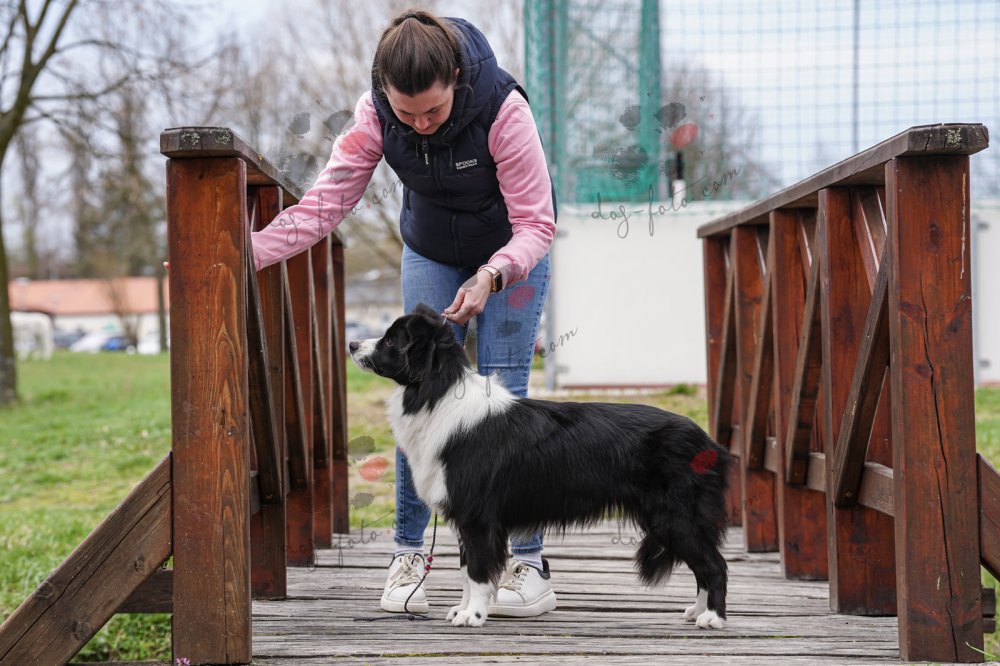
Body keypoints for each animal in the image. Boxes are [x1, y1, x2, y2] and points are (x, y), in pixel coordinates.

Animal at [348, 304, 732, 628]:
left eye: (391, 340)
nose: (352, 344)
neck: (437, 394)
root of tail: (708, 442)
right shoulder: (466, 518)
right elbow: (466, 571)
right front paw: (463, 609)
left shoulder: (477, 517)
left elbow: (476, 571)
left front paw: (473, 615)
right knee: (703, 566)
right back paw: (696, 610)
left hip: (674, 516)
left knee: (714, 565)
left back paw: (713, 618)